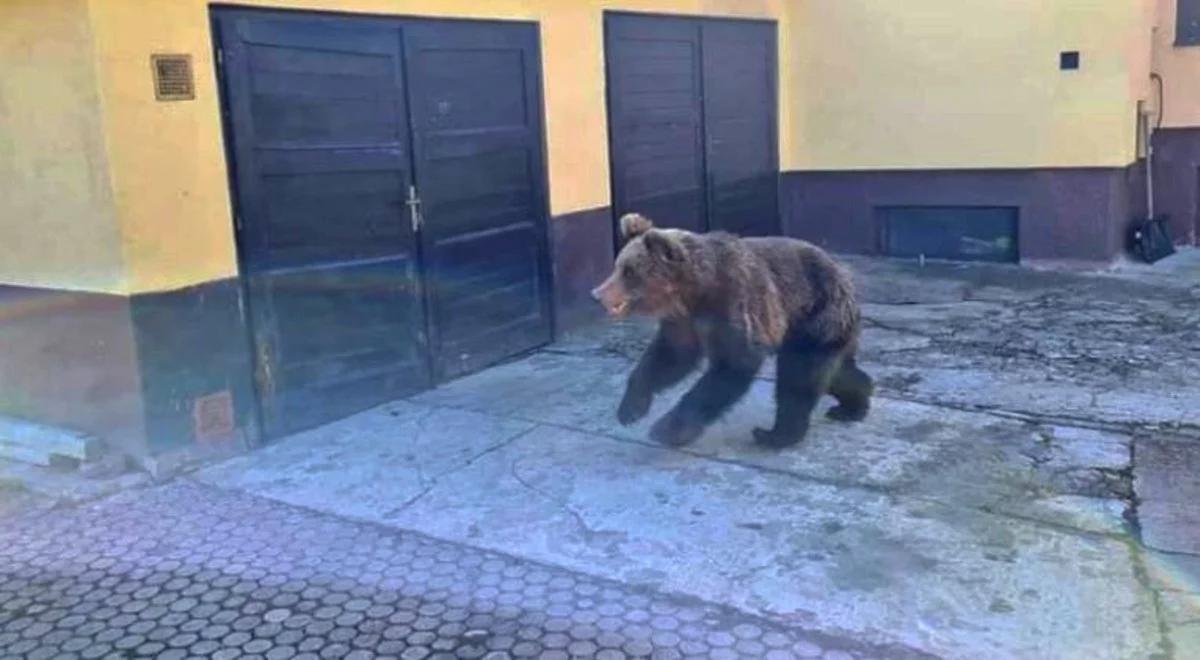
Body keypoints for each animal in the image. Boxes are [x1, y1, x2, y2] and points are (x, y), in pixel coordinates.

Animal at [590, 213, 873, 451]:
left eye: (628, 271)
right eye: (618, 266)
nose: (597, 293)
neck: (693, 293)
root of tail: (843, 273)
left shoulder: (733, 302)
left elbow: (733, 364)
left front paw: (666, 429)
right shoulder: (683, 322)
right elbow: (669, 358)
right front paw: (630, 409)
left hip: (815, 311)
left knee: (798, 375)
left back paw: (775, 434)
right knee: (830, 370)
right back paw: (853, 404)